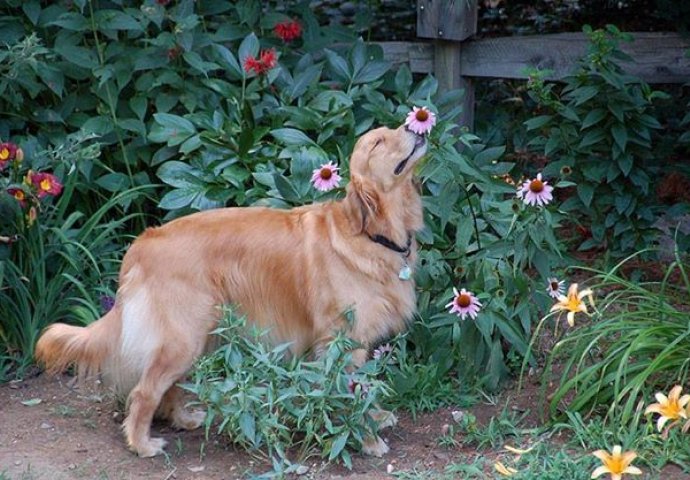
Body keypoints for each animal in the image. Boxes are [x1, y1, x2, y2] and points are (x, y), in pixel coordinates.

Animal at [37, 123, 428, 458]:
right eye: (378, 143)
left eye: (391, 129)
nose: (414, 125)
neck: (371, 234)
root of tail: (144, 241)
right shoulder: (342, 341)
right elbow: (353, 394)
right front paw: (368, 439)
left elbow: (364, 388)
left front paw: (375, 418)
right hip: (183, 338)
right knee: (145, 391)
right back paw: (142, 443)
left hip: (199, 336)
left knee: (171, 386)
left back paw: (184, 419)